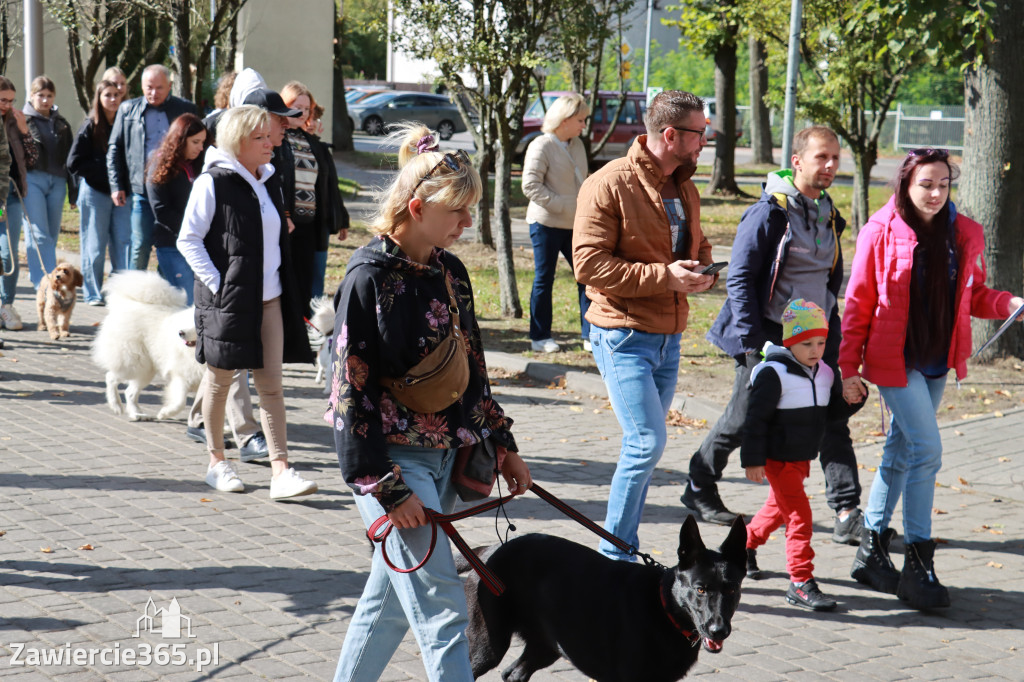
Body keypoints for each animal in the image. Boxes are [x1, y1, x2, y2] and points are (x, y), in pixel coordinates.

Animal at [94, 270, 207, 419]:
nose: (180, 333)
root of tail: (127, 303)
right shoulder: (181, 376)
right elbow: (180, 402)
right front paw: (165, 413)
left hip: (146, 369)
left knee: (130, 392)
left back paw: (136, 414)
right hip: (133, 364)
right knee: (111, 378)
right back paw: (116, 406)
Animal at [462, 512, 745, 675]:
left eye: (732, 589)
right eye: (700, 589)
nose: (719, 631)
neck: (664, 607)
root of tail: (488, 550)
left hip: (547, 645)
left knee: (512, 673)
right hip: (488, 646)